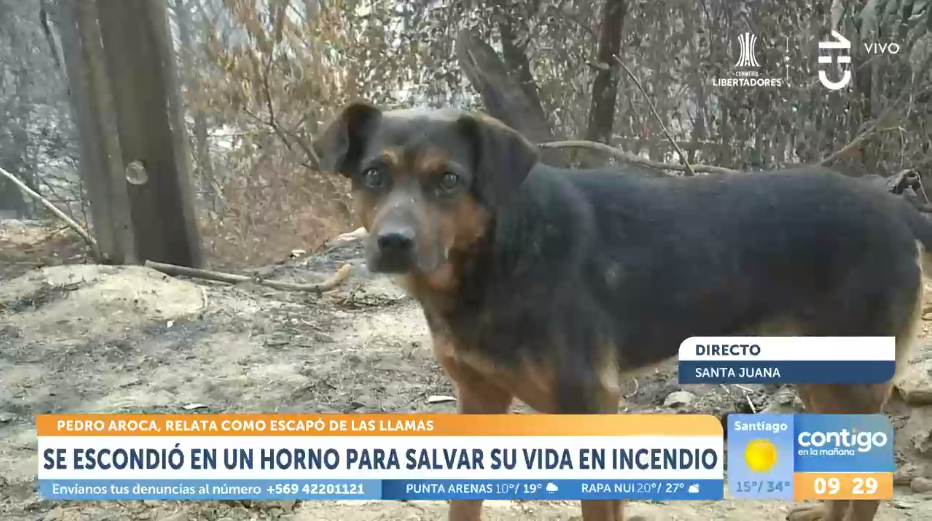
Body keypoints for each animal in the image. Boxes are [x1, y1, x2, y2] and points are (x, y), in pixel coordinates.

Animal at [316, 100, 928, 520]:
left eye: (449, 180)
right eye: (374, 175)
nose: (393, 243)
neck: (497, 256)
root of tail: (896, 208)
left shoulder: (589, 401)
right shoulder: (478, 398)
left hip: (852, 380)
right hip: (820, 376)